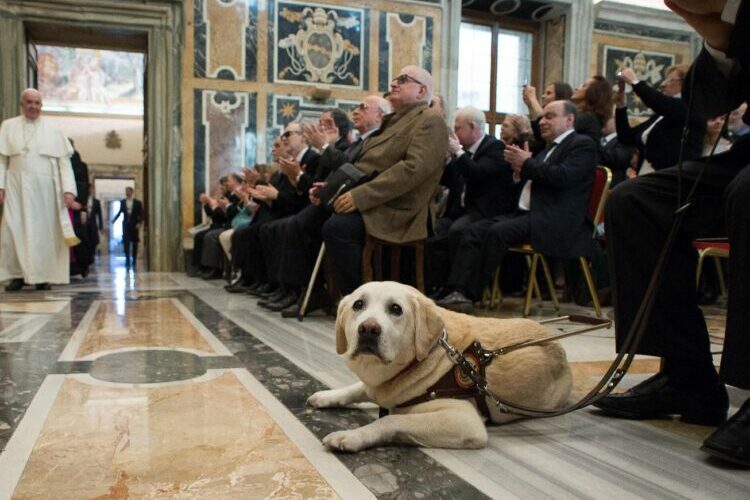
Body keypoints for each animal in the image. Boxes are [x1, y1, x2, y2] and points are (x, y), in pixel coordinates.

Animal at [308, 282, 572, 454]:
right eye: (358, 305)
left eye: (396, 309)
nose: (368, 329)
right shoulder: (378, 387)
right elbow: (357, 388)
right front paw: (327, 396)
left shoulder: (464, 420)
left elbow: (390, 420)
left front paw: (352, 436)